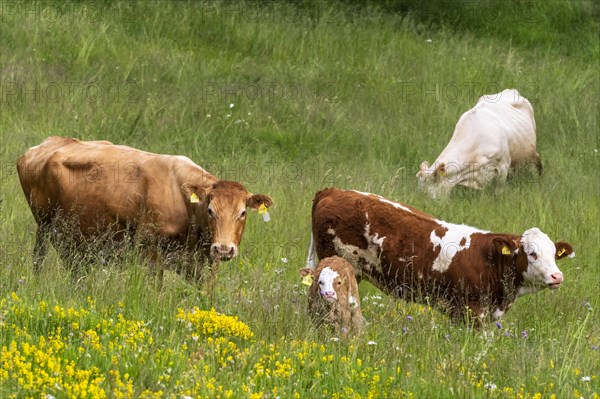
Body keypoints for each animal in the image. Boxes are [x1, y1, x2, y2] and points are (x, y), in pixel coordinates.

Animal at [17, 136, 274, 290]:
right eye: (211, 210)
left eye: (242, 213)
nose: (223, 249)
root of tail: (49, 143)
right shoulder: (151, 253)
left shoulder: (206, 263)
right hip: (44, 227)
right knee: (39, 260)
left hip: (77, 242)